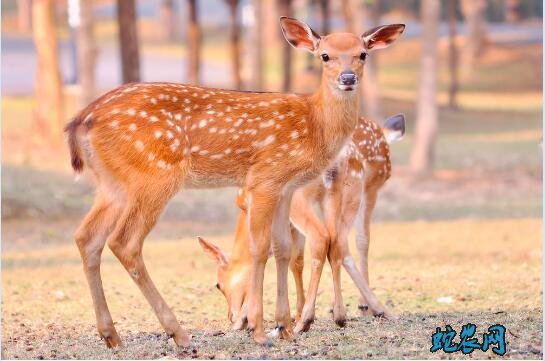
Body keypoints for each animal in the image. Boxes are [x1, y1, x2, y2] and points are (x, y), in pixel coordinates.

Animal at [199, 114, 404, 334]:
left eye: (218, 285)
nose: (232, 318)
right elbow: (296, 261)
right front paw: (294, 313)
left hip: (325, 195)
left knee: (336, 239)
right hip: (337, 195)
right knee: (337, 242)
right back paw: (345, 313)